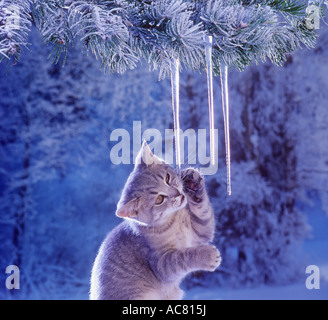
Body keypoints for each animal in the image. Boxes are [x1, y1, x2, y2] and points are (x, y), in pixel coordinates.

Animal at [90, 141, 220, 298]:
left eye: (167, 178)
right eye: (159, 199)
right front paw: (208, 255)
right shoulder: (161, 263)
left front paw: (193, 183)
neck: (174, 220)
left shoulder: (201, 232)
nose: (177, 193)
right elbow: (183, 257)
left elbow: (203, 211)